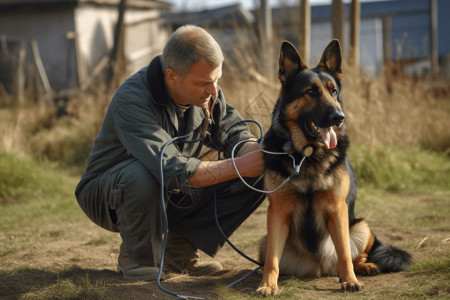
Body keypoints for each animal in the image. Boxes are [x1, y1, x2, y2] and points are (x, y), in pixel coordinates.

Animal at [256, 40, 412, 296]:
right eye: (311, 92)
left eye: (334, 92)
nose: (339, 117)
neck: (308, 155)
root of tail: (320, 268)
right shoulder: (277, 211)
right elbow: (272, 260)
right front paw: (268, 285)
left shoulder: (337, 208)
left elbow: (345, 254)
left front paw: (350, 281)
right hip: (264, 240)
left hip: (361, 226)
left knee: (353, 255)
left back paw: (365, 267)